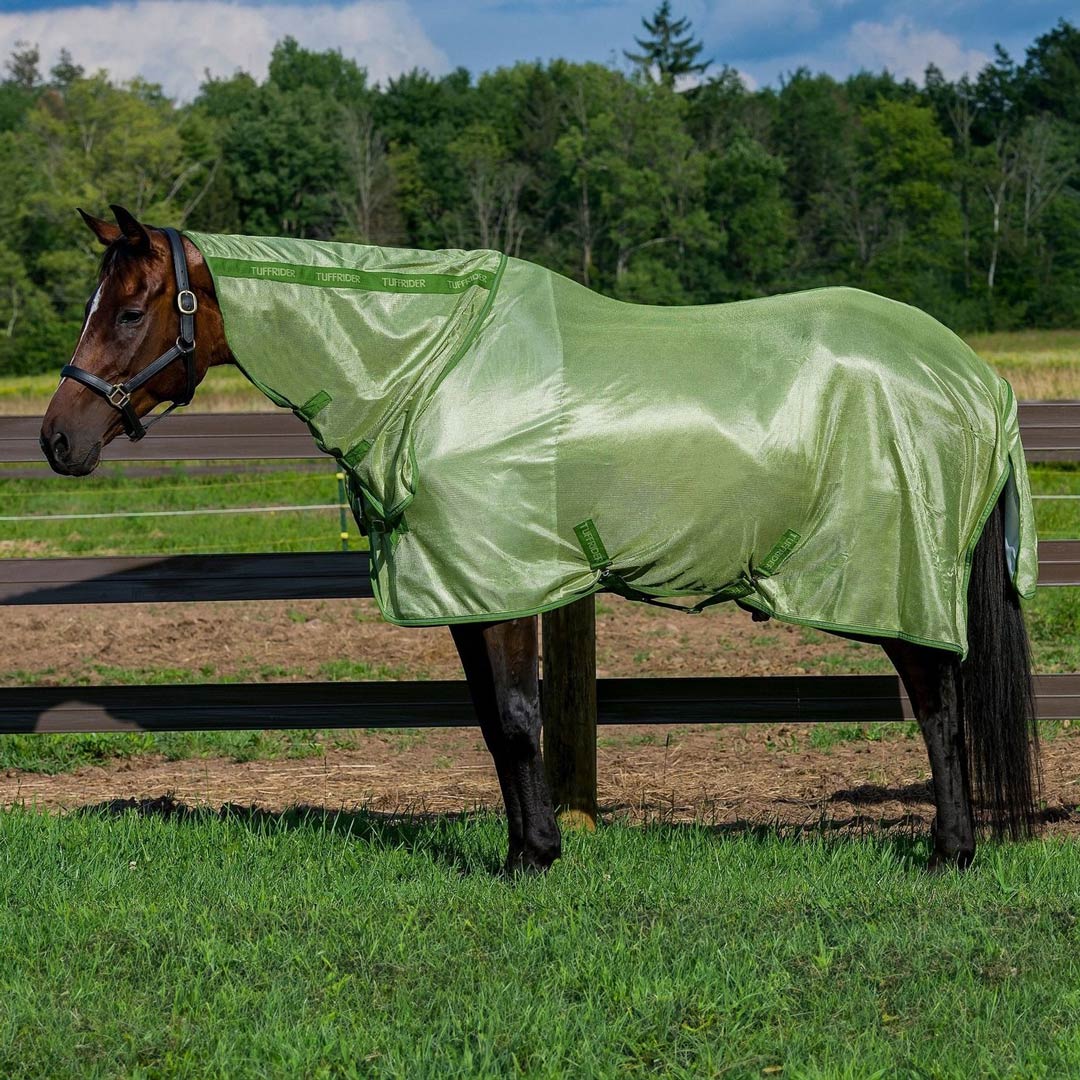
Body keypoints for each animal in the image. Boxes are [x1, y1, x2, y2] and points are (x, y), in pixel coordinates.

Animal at [40, 205, 1040, 873]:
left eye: (128, 311)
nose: (58, 439)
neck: (431, 367)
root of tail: (976, 377)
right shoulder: (468, 585)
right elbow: (493, 722)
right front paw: (529, 846)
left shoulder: (501, 578)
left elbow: (520, 719)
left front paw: (533, 859)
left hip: (897, 576)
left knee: (939, 705)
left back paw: (951, 852)